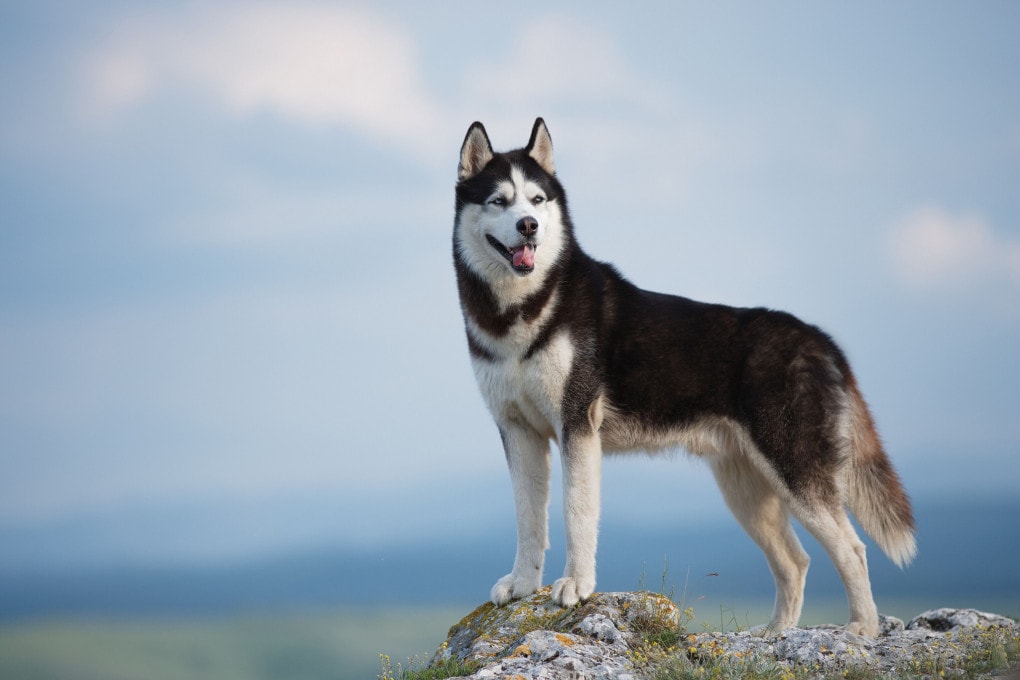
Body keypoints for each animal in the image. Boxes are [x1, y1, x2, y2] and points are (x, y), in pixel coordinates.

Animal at [450, 118, 913, 640]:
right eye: (499, 201)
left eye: (536, 199)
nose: (528, 226)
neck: (521, 309)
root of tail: (820, 337)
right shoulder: (518, 430)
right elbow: (528, 520)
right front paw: (524, 585)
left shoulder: (577, 425)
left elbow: (576, 513)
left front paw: (577, 585)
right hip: (745, 487)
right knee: (795, 561)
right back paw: (774, 635)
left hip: (796, 469)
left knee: (852, 549)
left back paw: (861, 630)